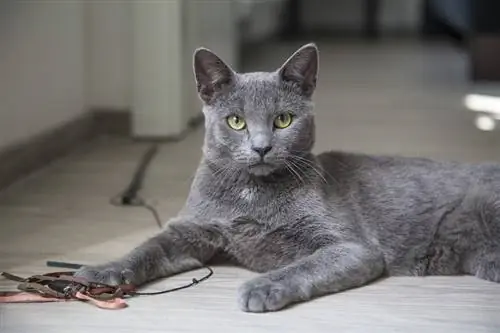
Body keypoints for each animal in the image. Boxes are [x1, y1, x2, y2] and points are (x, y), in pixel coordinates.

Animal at [74, 43, 500, 312]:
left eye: (283, 119)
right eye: (236, 121)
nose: (262, 147)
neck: (251, 194)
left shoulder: (352, 247)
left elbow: (303, 265)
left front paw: (262, 287)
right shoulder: (191, 229)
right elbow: (148, 248)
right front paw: (102, 270)